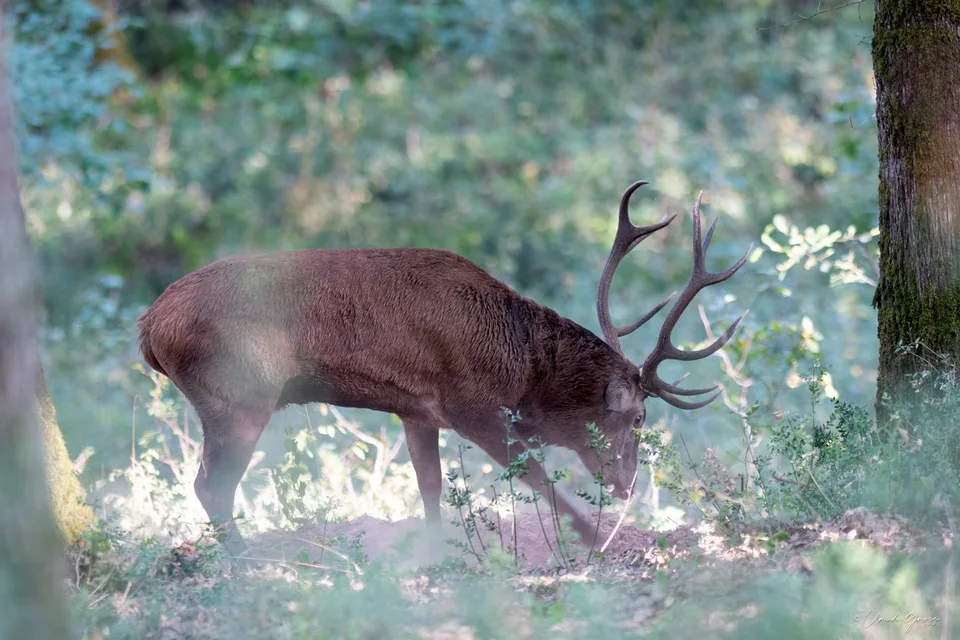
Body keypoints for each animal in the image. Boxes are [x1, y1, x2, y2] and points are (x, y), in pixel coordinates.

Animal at [137, 181, 750, 556]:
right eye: (640, 417)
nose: (627, 486)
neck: (521, 370)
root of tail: (147, 329)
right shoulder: (470, 406)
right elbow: (534, 476)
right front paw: (594, 541)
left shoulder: (417, 411)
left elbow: (429, 487)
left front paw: (438, 554)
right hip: (239, 394)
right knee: (211, 485)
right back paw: (247, 564)